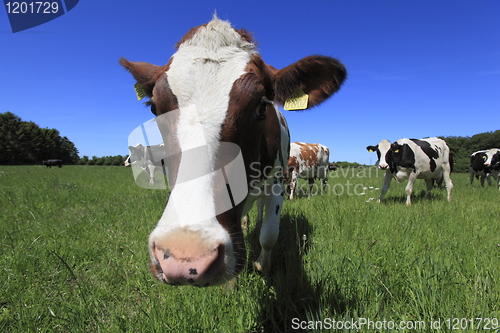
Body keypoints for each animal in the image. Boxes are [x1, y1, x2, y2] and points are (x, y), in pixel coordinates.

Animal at [119, 15, 346, 286]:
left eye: (261, 107)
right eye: (155, 108)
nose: (186, 255)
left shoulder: (278, 183)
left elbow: (269, 234)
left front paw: (262, 265)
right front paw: (231, 281)